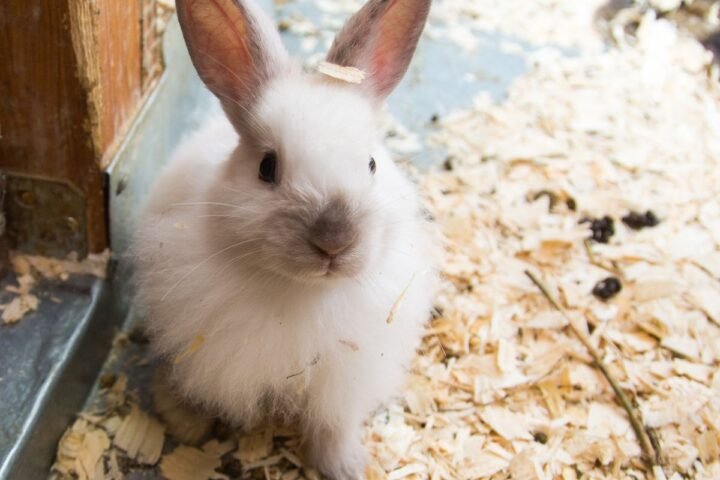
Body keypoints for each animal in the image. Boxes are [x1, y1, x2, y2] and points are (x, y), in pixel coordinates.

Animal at [133, 0, 436, 478]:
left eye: (371, 164)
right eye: (267, 167)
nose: (334, 240)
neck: (303, 293)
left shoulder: (342, 384)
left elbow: (332, 427)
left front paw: (346, 467)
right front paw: (187, 425)